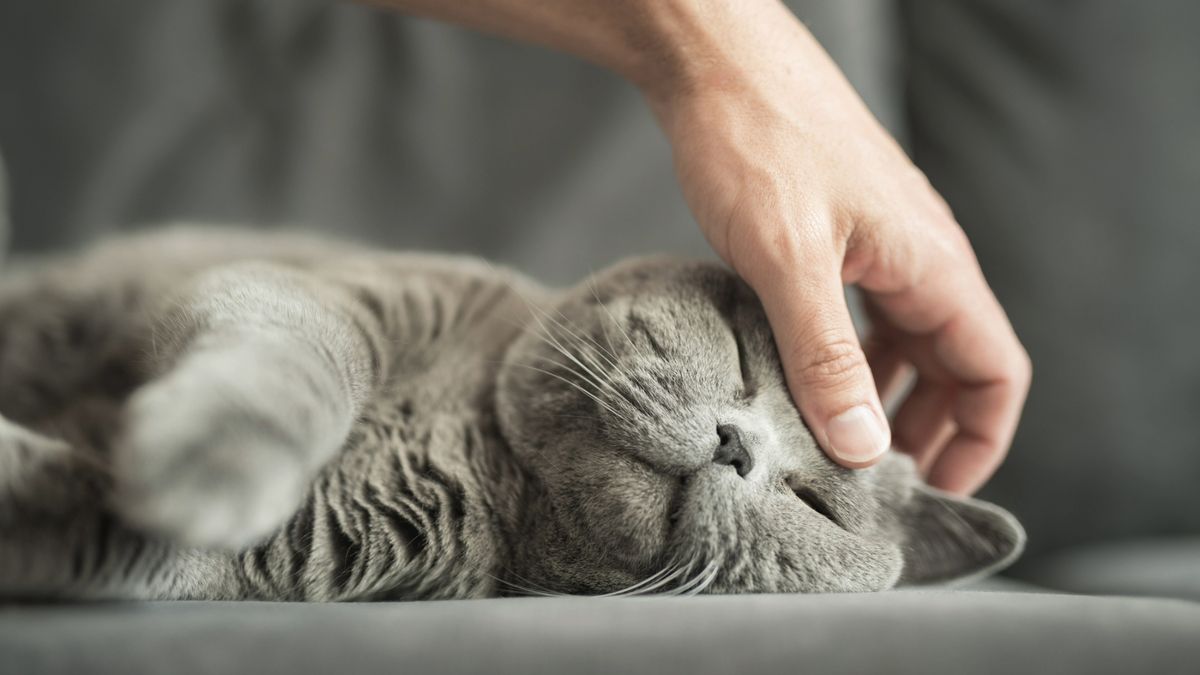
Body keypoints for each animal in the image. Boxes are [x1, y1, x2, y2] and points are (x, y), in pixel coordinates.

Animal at [0, 227, 1022, 598]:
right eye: (739, 350)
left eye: (817, 505)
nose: (736, 443)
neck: (478, 458)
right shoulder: (332, 293)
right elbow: (301, 360)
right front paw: (210, 459)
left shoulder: (265, 559)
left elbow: (125, 539)